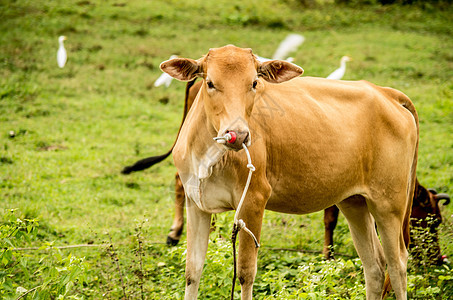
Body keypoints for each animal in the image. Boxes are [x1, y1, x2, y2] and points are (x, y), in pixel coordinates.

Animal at [159, 45, 416, 300]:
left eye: (254, 83)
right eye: (210, 83)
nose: (239, 134)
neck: (209, 155)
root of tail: (385, 92)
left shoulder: (253, 200)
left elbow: (245, 273)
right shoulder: (196, 203)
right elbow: (192, 271)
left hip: (389, 203)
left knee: (398, 265)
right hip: (354, 201)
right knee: (375, 265)